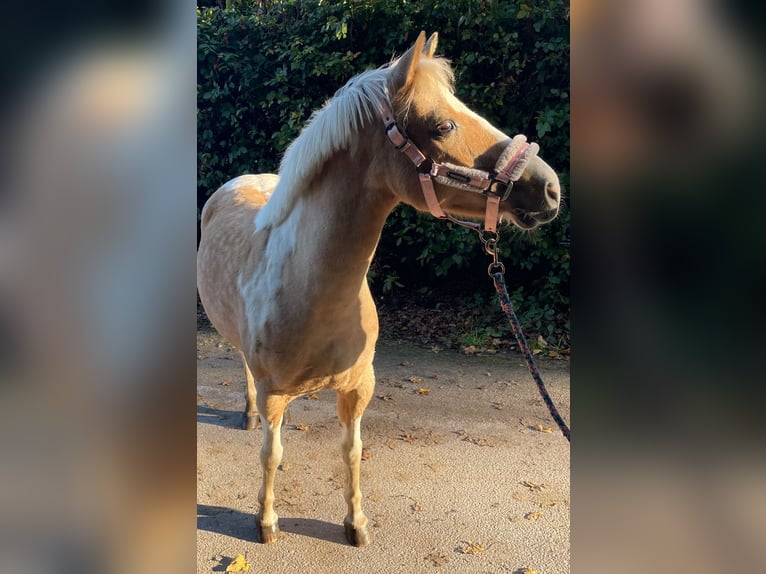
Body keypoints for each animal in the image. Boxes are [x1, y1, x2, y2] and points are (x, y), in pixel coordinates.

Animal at [195, 32, 560, 548]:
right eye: (444, 124)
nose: (550, 188)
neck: (313, 292)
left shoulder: (358, 388)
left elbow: (352, 452)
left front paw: (356, 523)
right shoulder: (274, 395)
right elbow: (270, 454)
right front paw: (265, 521)